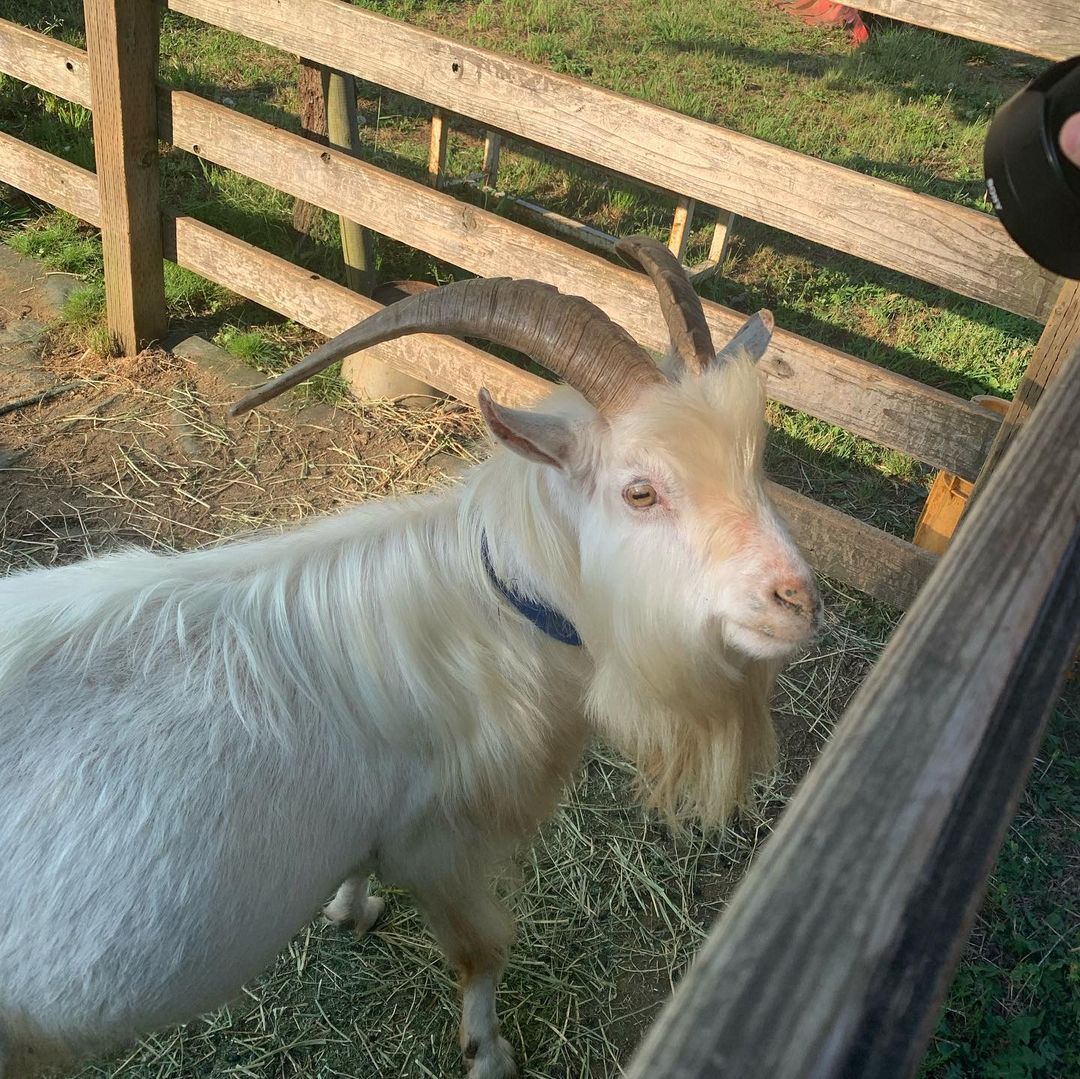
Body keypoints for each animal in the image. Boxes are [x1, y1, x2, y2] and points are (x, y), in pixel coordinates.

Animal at [0, 236, 821, 1079]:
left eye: (756, 462)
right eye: (640, 492)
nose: (796, 598)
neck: (483, 606)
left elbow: (360, 863)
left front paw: (352, 908)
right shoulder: (442, 840)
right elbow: (481, 949)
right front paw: (488, 1052)